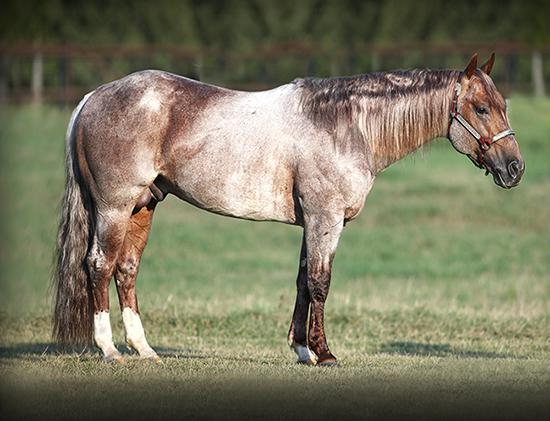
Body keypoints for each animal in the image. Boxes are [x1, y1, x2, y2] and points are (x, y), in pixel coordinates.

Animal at [55, 54, 528, 364]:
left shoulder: (313, 223)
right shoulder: (325, 219)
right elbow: (320, 283)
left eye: (503, 106)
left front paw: (301, 349)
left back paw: (145, 350)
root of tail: (92, 97)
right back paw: (109, 350)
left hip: (144, 206)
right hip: (114, 208)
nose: (515, 168)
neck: (346, 126)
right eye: (481, 108)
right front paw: (325, 352)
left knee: (126, 270)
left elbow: (303, 280)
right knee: (98, 265)